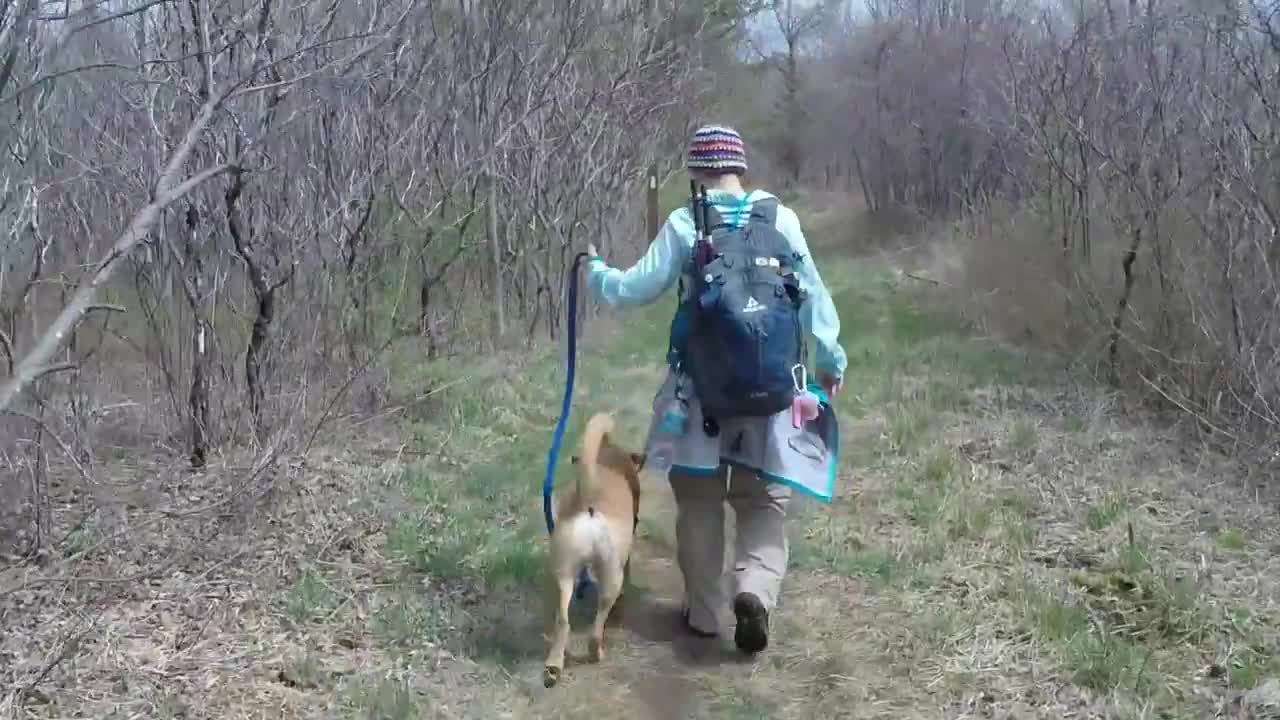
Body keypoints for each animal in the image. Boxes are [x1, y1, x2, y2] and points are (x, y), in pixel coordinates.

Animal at [540, 409, 645, 681]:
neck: (607, 459)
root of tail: (589, 505)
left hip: (564, 571)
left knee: (563, 620)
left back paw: (553, 665)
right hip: (611, 578)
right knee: (597, 628)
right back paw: (597, 653)